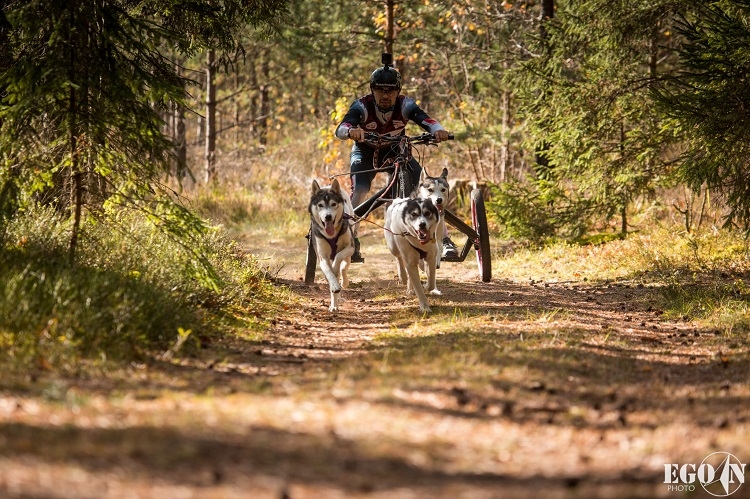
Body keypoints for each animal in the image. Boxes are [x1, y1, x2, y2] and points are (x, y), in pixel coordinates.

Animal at [308, 179, 356, 312]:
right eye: (320, 205)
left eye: (333, 204)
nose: (328, 216)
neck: (331, 235)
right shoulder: (322, 257)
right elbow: (329, 273)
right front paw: (334, 285)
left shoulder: (350, 247)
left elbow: (338, 258)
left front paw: (335, 267)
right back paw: (334, 303)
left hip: (349, 254)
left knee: (344, 267)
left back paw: (343, 281)